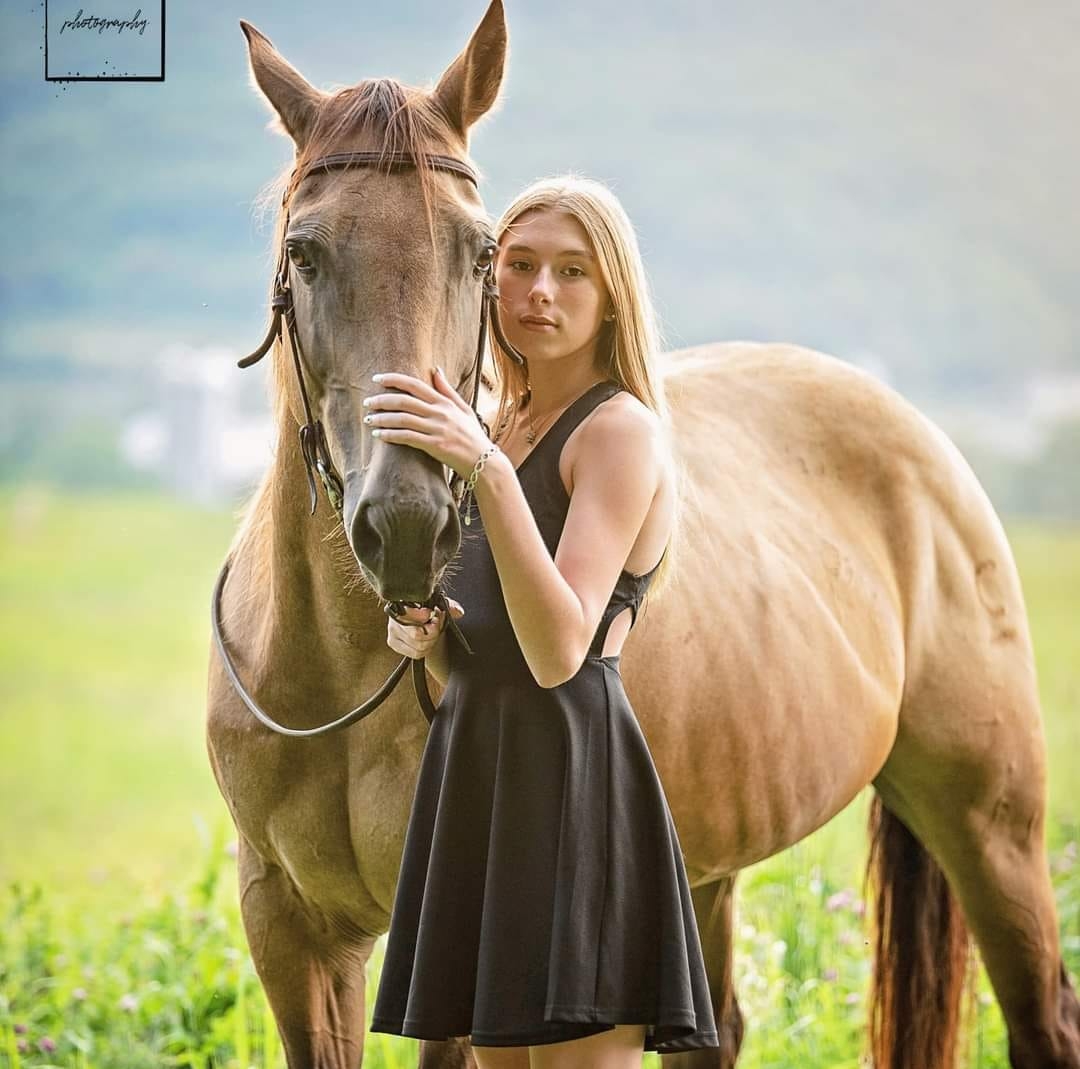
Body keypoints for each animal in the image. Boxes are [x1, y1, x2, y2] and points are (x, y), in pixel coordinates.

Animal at [206, 3, 1080, 1067]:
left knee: (1042, 1010)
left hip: (991, 823)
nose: (409, 523)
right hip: (707, 863)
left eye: (481, 252)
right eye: (306, 252)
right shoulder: (292, 933)